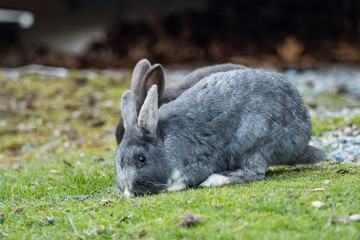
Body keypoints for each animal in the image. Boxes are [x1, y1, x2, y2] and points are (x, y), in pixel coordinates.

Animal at [114, 68, 324, 198]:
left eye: (141, 159)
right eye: (117, 160)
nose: (128, 190)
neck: (164, 143)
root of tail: (302, 142)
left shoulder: (196, 162)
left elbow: (185, 180)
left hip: (251, 142)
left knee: (255, 172)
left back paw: (214, 180)